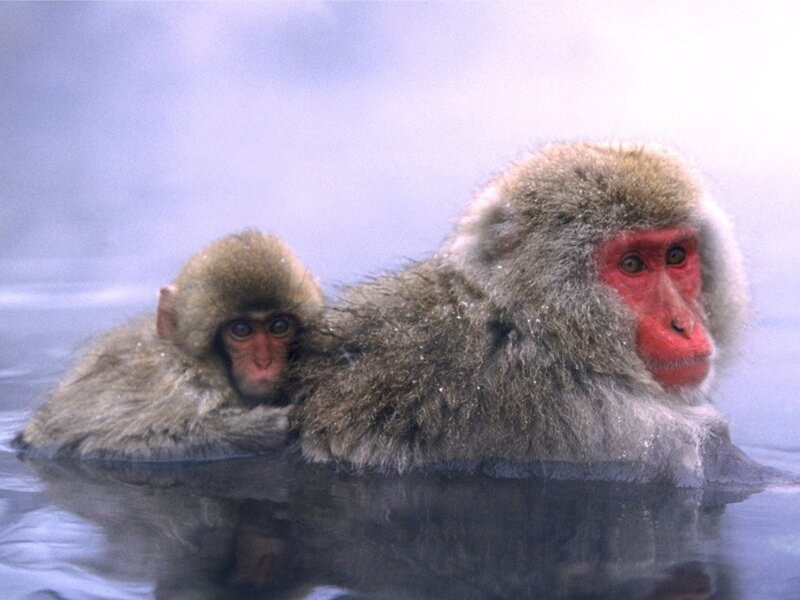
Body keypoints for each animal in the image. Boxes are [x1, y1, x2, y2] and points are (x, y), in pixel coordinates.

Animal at [15, 230, 323, 461]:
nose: (263, 362)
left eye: (279, 326)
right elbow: (99, 441)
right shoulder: (178, 385)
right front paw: (257, 430)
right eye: (241, 330)